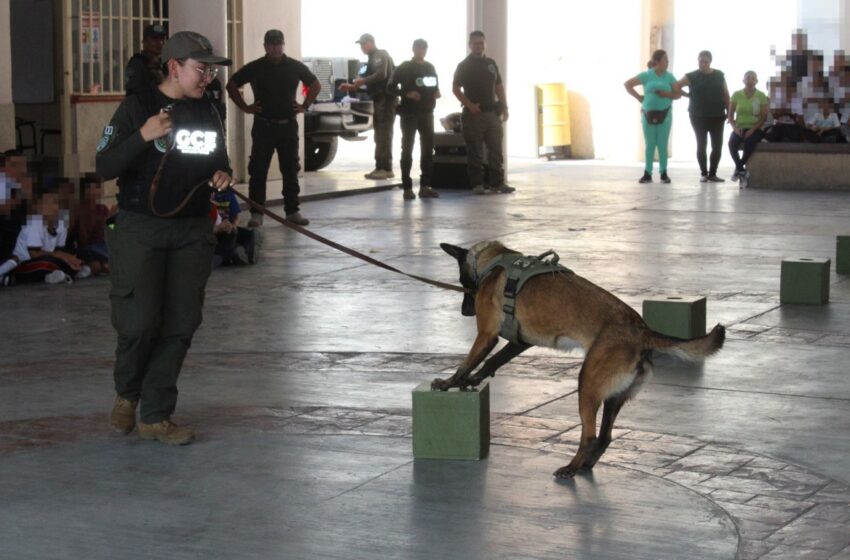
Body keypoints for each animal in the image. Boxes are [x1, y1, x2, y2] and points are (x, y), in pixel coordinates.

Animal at [438, 238, 724, 480]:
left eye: (462, 282)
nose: (465, 312)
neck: (496, 259)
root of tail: (642, 331)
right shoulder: (521, 342)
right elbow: (492, 361)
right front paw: (473, 379)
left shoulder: (487, 335)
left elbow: (468, 361)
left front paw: (450, 382)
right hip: (613, 397)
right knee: (605, 437)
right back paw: (585, 465)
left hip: (587, 384)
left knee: (589, 436)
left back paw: (571, 468)